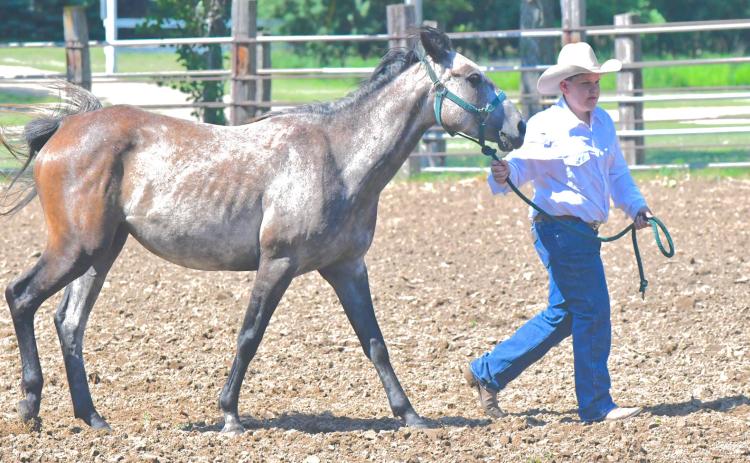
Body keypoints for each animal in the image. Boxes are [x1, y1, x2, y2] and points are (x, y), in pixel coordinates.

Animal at [1, 27, 525, 433]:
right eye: (475, 78)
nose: (518, 128)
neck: (340, 158)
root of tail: (65, 129)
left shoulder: (347, 268)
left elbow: (375, 342)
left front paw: (410, 414)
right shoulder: (278, 263)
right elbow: (249, 336)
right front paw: (230, 415)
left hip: (101, 254)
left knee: (70, 324)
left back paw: (92, 418)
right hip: (76, 249)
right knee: (21, 296)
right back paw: (30, 406)